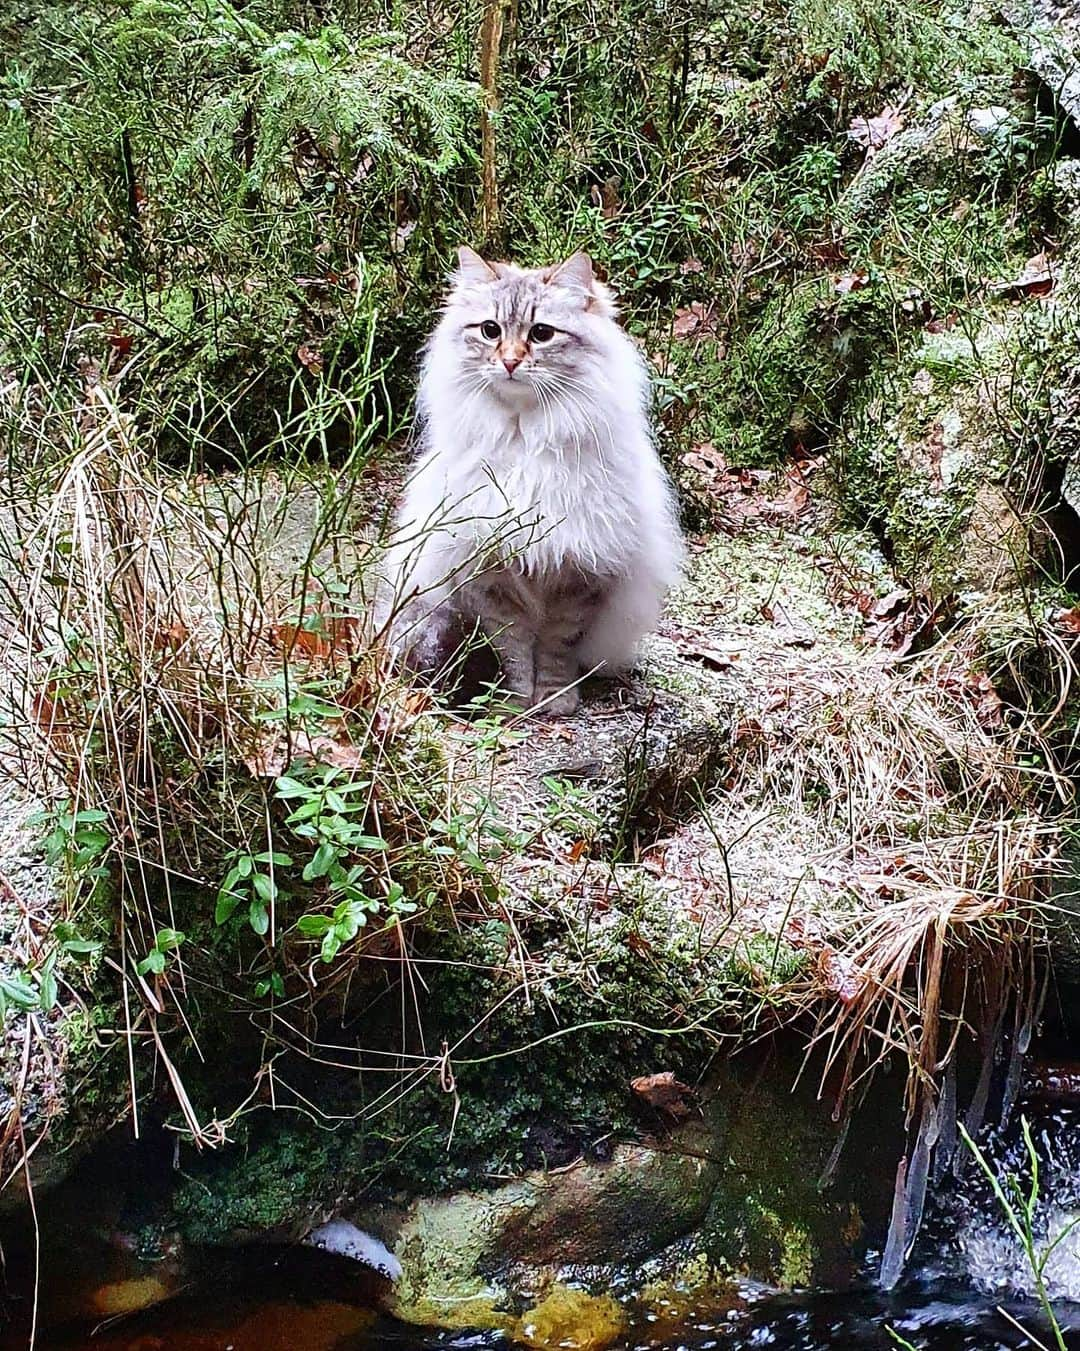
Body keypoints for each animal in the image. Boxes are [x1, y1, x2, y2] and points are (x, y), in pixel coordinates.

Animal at [381, 251, 683, 718]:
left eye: (541, 334)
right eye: (490, 330)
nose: (509, 361)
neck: (525, 441)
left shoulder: (577, 573)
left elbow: (557, 648)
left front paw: (556, 701)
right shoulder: (490, 574)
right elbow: (514, 649)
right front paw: (514, 704)